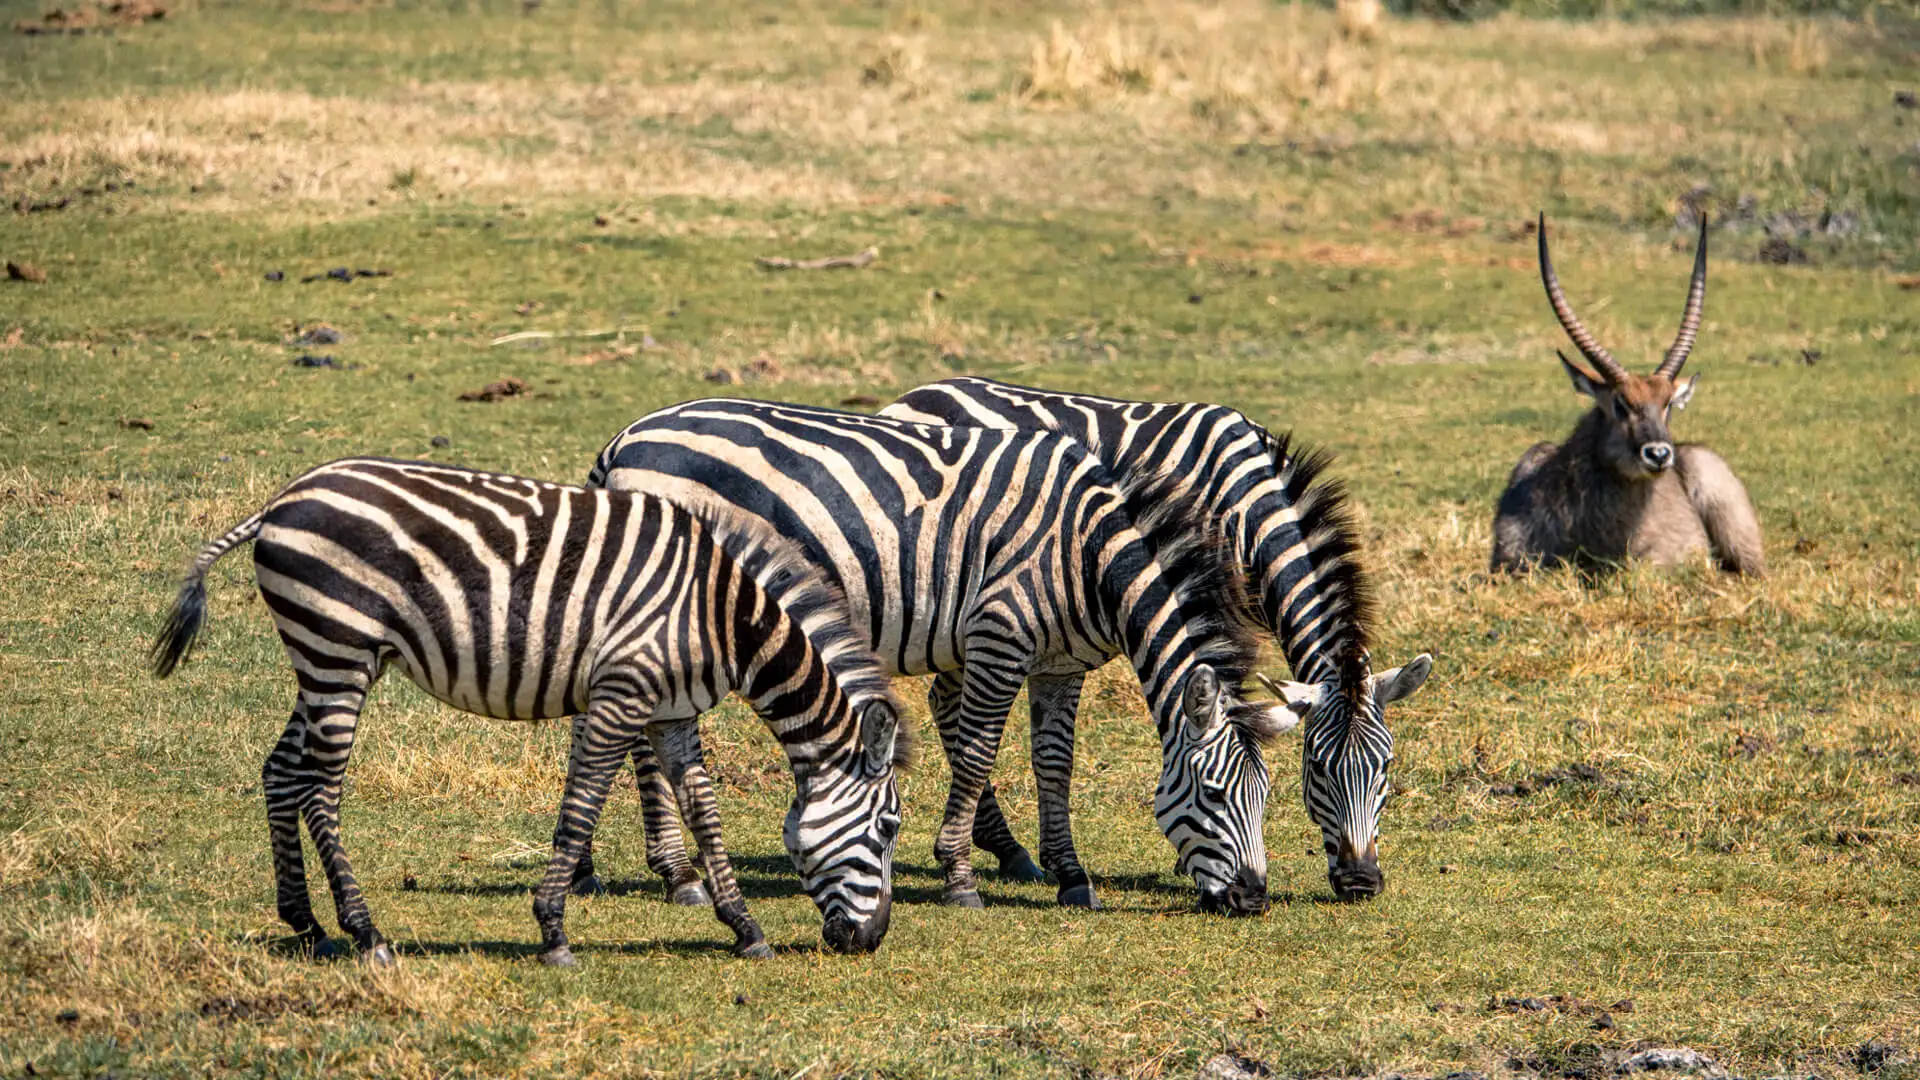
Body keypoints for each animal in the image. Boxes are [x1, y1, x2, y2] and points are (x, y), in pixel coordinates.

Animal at [150, 456, 907, 965]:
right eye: (889, 827)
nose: (870, 941)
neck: (722, 616)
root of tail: (280, 501)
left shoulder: (672, 714)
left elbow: (704, 813)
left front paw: (743, 927)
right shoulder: (621, 694)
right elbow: (582, 808)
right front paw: (552, 931)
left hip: (322, 657)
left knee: (281, 772)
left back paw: (305, 923)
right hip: (338, 649)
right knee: (320, 790)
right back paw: (366, 933)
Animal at [584, 398, 1294, 914]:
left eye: (1264, 797)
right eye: (1213, 792)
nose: (1254, 900)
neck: (1087, 555)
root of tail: (625, 439)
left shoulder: (1060, 664)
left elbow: (1054, 763)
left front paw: (1069, 875)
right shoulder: (998, 636)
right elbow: (978, 755)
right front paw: (959, 876)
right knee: (641, 739)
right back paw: (677, 875)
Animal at [881, 378, 1432, 902]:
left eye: (1386, 766)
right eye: (1317, 767)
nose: (1361, 882)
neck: (1245, 506)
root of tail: (920, 393)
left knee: (943, 698)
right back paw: (1002, 847)